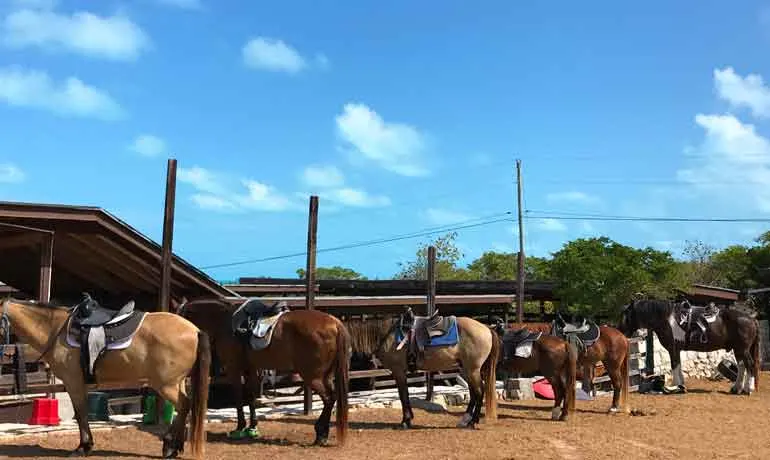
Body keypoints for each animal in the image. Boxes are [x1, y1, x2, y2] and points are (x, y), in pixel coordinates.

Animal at [0, 296, 210, 458]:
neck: (54, 329)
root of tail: (194, 330)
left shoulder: (73, 383)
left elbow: (80, 413)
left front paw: (83, 447)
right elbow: (81, 413)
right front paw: (86, 445)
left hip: (165, 385)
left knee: (183, 405)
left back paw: (169, 447)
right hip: (177, 382)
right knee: (184, 407)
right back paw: (175, 446)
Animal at [178, 298, 350, 446]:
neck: (223, 322)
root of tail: (334, 323)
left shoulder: (234, 369)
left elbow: (239, 398)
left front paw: (240, 427)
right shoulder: (251, 369)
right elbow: (250, 397)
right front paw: (252, 428)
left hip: (313, 376)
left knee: (329, 398)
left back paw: (320, 434)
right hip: (325, 376)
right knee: (332, 398)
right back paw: (323, 434)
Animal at [344, 310, 498, 432]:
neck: (386, 335)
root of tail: (486, 328)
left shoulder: (398, 371)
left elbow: (403, 395)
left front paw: (405, 421)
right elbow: (405, 395)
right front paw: (408, 419)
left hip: (473, 369)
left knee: (479, 392)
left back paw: (472, 422)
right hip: (468, 369)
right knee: (474, 393)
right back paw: (465, 420)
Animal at [616, 298, 760, 396]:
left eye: (626, 315)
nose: (620, 332)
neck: (667, 319)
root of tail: (751, 319)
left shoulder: (673, 349)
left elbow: (674, 366)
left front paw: (673, 387)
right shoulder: (676, 350)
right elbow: (678, 366)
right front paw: (680, 386)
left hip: (742, 349)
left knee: (750, 365)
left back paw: (748, 389)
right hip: (738, 349)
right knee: (742, 366)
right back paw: (736, 389)